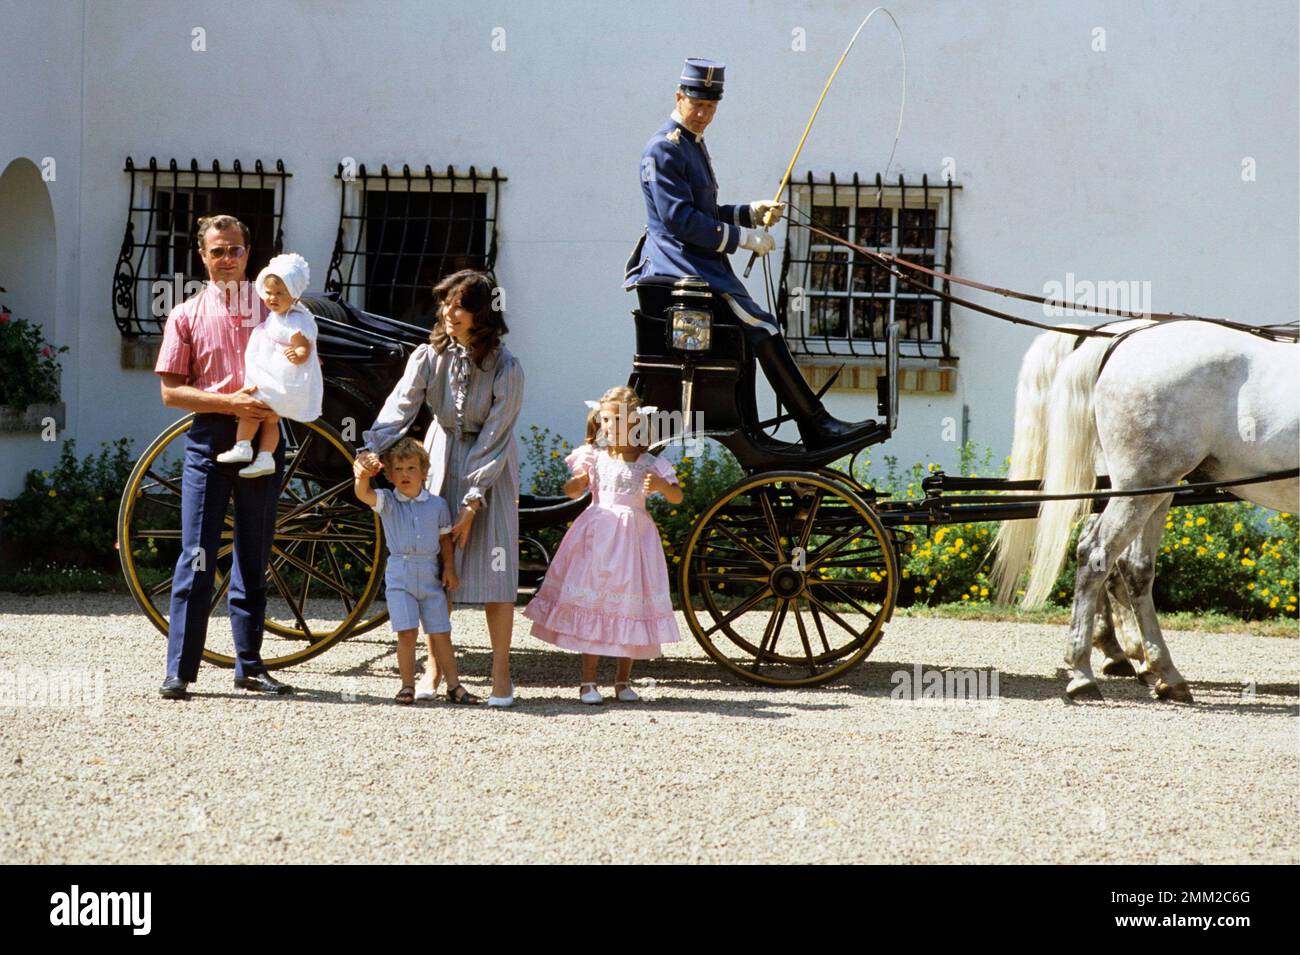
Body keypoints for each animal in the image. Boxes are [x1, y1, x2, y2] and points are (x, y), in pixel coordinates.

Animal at [987, 320, 1294, 701]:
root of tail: (1121, 340)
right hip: (1140, 485)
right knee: (1097, 555)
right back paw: (1085, 670)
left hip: (1155, 489)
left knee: (1134, 568)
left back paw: (1158, 669)